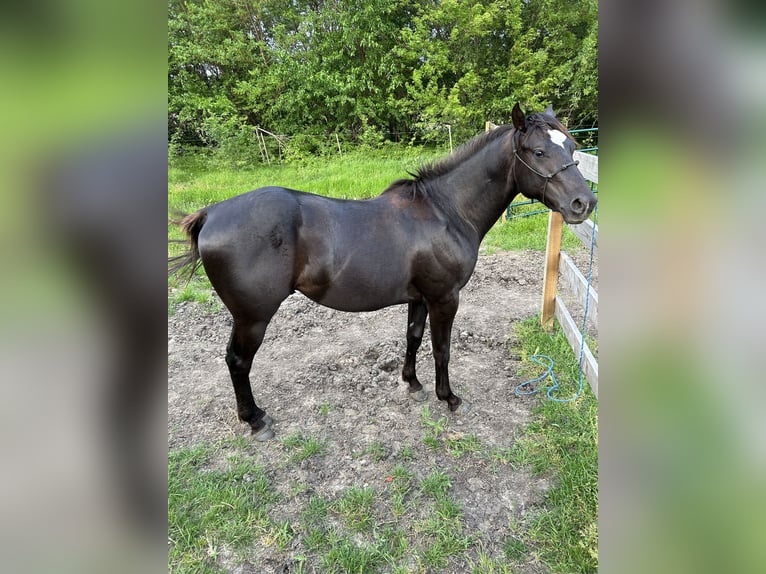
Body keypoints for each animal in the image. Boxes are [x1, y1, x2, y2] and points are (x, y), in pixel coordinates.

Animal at [171, 104, 596, 440]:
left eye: (572, 148)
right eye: (538, 151)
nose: (584, 202)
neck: (445, 212)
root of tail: (212, 213)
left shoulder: (420, 297)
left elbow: (413, 338)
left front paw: (413, 383)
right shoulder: (445, 298)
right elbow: (441, 349)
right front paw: (449, 397)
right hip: (252, 317)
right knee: (237, 362)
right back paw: (255, 420)